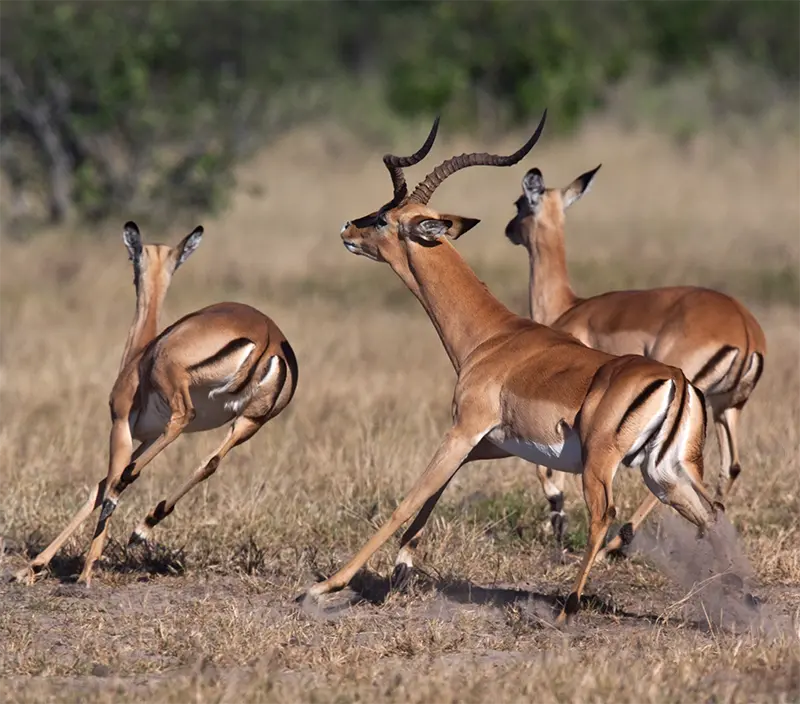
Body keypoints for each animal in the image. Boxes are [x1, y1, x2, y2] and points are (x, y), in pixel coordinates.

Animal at [15, 222, 298, 586]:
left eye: (132, 257)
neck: (139, 353)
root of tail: (267, 337)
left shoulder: (121, 425)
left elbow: (102, 486)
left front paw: (78, 572)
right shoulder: (147, 438)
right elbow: (98, 487)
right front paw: (33, 568)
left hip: (178, 394)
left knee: (169, 434)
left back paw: (129, 510)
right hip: (249, 424)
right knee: (210, 462)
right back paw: (143, 526)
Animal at [304, 112, 722, 624]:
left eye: (384, 217)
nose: (348, 228)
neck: (491, 336)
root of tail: (676, 381)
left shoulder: (463, 429)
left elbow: (409, 500)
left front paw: (325, 586)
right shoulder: (489, 444)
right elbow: (432, 498)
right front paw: (400, 571)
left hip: (603, 466)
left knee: (604, 517)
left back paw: (567, 609)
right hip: (668, 474)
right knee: (711, 513)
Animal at [504, 165, 765, 558]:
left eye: (521, 204)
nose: (509, 229)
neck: (569, 306)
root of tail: (744, 328)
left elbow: (546, 466)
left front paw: (557, 522)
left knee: (670, 476)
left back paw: (615, 543)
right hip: (725, 408)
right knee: (729, 468)